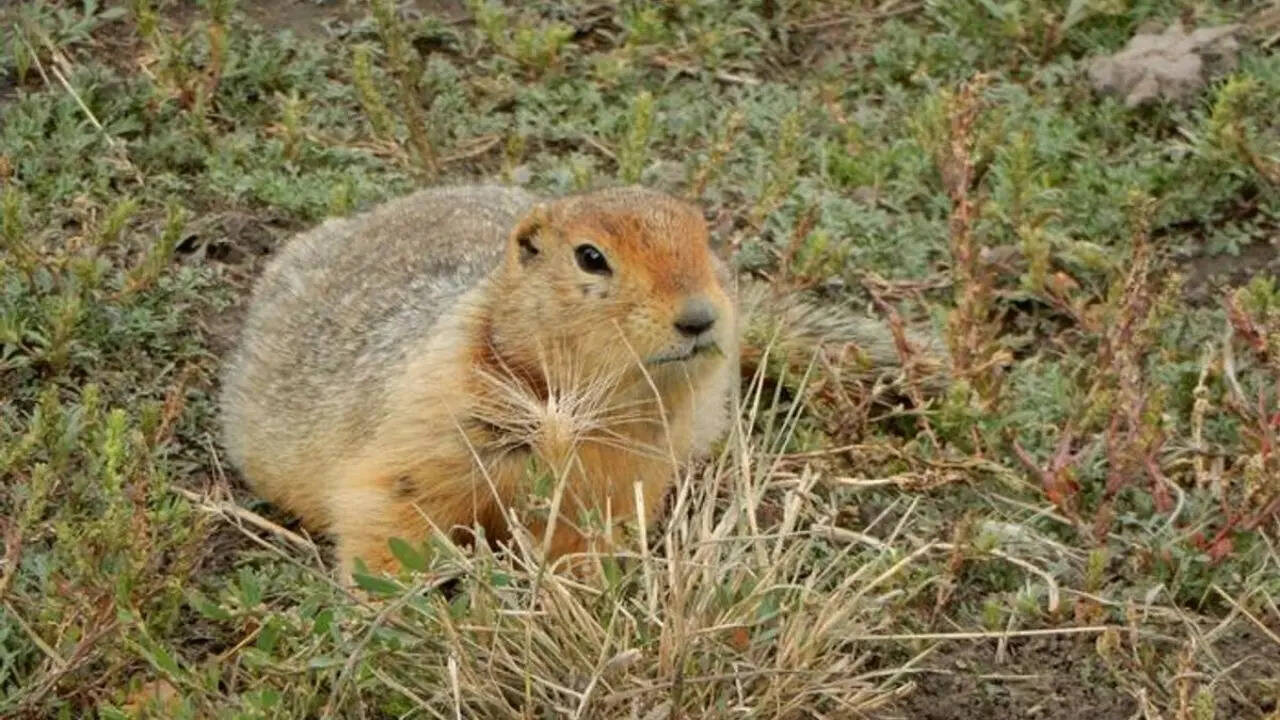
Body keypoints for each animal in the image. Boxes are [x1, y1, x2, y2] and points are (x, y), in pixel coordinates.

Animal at [220, 184, 950, 578]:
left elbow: (586, 536)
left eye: (704, 238)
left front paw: (582, 586)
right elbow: (391, 509)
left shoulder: (625, 475)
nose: (701, 316)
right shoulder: (430, 421)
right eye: (591, 257)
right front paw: (399, 604)